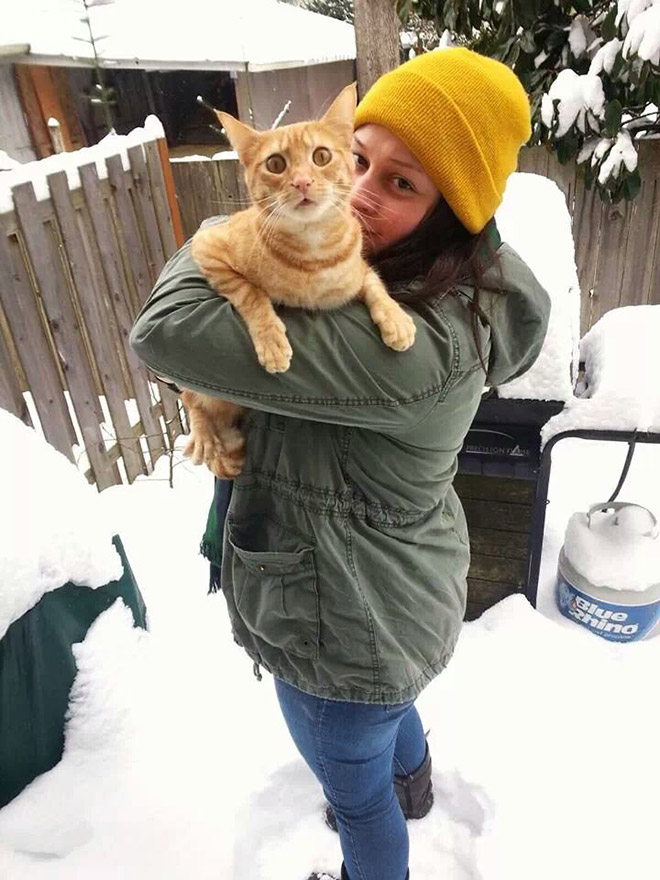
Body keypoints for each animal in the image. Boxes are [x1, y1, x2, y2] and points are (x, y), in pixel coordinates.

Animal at [182, 84, 412, 474]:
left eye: (321, 156)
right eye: (276, 164)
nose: (302, 181)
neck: (313, 253)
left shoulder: (360, 271)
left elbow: (375, 285)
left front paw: (395, 319)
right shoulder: (207, 246)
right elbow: (250, 292)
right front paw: (272, 341)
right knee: (191, 398)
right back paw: (205, 436)